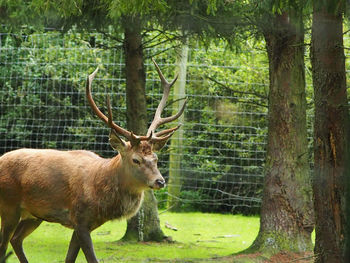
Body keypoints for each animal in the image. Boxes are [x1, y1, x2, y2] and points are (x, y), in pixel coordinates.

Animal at [0, 58, 186, 262]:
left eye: (155, 158)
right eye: (136, 159)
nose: (160, 181)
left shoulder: (84, 224)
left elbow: (70, 258)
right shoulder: (80, 218)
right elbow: (91, 258)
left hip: (33, 215)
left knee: (16, 239)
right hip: (9, 206)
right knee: (3, 245)